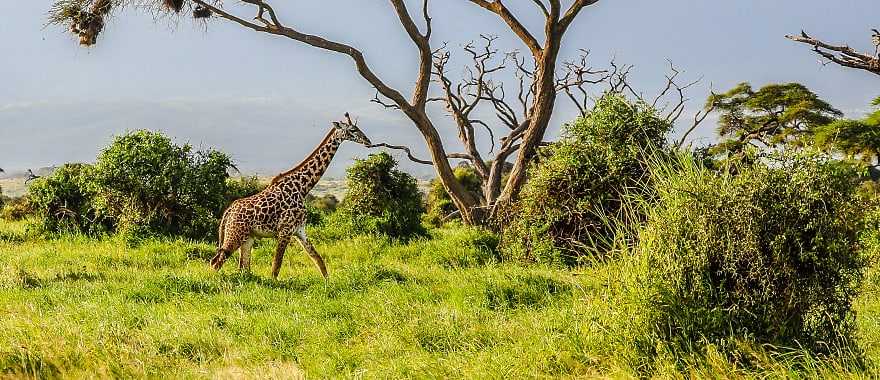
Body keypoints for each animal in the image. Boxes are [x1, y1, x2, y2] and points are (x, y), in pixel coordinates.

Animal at [212, 114, 372, 278]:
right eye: (352, 129)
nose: (368, 141)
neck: (303, 187)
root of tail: (228, 212)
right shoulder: (285, 230)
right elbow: (276, 266)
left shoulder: (300, 230)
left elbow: (318, 260)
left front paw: (329, 282)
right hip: (234, 234)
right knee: (216, 261)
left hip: (247, 237)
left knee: (243, 267)